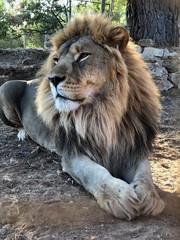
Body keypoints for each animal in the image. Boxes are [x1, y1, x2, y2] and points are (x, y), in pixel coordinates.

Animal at [0, 14, 165, 219]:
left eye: (83, 56)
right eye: (56, 60)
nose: (52, 79)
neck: (103, 111)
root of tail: (30, 79)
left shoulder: (132, 147)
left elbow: (145, 173)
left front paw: (150, 197)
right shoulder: (72, 153)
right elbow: (94, 172)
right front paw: (118, 196)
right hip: (5, 87)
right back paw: (23, 133)